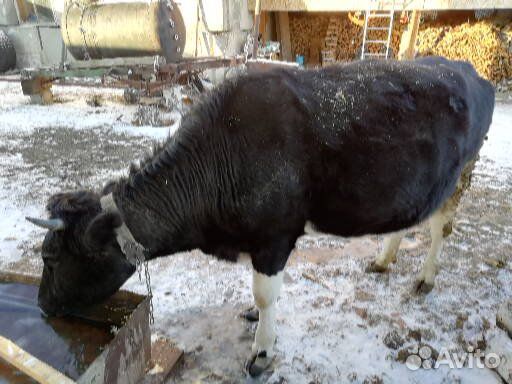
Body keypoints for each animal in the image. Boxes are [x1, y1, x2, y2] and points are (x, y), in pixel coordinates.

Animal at [26, 57, 494, 378]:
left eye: (50, 257)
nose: (42, 305)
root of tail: (466, 68)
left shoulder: (275, 237)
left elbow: (266, 294)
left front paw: (262, 352)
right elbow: (260, 295)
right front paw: (254, 318)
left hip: (461, 175)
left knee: (441, 228)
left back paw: (425, 279)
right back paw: (383, 260)